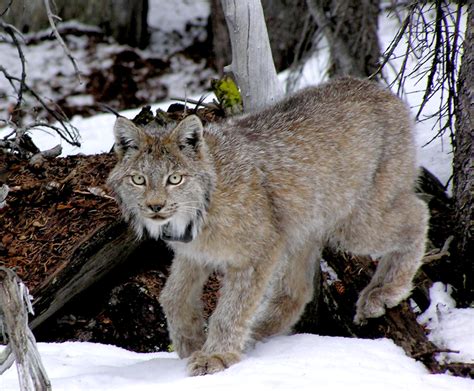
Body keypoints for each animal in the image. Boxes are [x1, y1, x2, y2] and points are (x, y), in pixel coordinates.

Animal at [107, 77, 430, 376]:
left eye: (175, 179)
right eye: (138, 180)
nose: (155, 206)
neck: (198, 212)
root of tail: (377, 88)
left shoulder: (259, 251)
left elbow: (230, 309)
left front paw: (216, 356)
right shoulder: (194, 253)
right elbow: (172, 297)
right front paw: (190, 343)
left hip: (353, 225)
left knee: (419, 212)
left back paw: (385, 290)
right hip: (303, 224)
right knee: (298, 290)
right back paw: (258, 337)